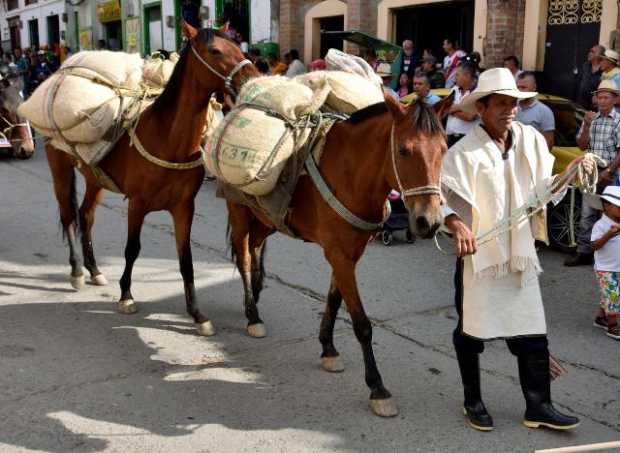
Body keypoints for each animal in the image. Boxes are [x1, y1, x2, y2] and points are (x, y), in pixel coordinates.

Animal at [47, 27, 258, 332]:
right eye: (215, 50)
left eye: (239, 47)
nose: (251, 78)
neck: (169, 140)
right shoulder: (137, 204)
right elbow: (132, 249)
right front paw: (126, 296)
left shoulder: (184, 208)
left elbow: (186, 259)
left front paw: (196, 313)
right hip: (60, 168)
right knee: (68, 216)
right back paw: (76, 271)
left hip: (95, 180)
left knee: (85, 216)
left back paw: (95, 270)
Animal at [228, 94, 456, 416]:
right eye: (403, 150)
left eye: (444, 149)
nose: (430, 222)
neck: (351, 174)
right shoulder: (339, 254)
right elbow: (361, 324)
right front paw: (377, 387)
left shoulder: (348, 254)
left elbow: (335, 301)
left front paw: (328, 348)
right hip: (238, 210)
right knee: (244, 257)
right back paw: (252, 315)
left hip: (266, 218)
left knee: (255, 248)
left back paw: (255, 300)